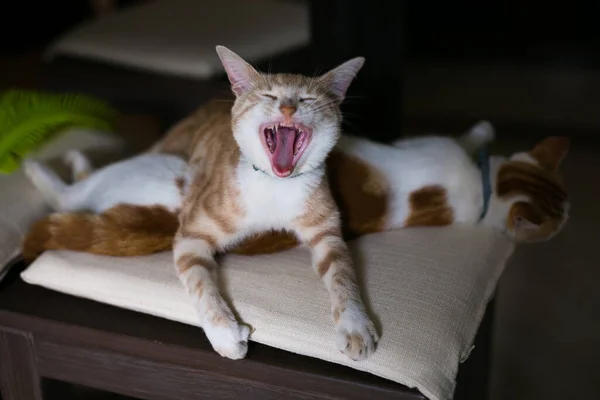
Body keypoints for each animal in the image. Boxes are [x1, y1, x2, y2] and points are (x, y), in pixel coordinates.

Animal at [21, 46, 568, 360]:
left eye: (305, 101)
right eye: (268, 97)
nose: (285, 105)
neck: (276, 188)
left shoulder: (327, 229)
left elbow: (343, 277)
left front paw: (355, 325)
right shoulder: (192, 234)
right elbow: (201, 285)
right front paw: (226, 333)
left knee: (79, 189)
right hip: (158, 167)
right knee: (73, 190)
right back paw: (39, 160)